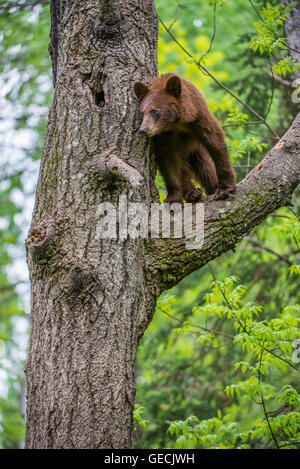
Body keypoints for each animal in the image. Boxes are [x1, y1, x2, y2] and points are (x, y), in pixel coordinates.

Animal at [134, 72, 237, 204]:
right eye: (142, 112)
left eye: (154, 111)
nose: (143, 130)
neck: (177, 123)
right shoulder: (164, 138)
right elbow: (168, 162)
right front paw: (173, 197)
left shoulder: (199, 117)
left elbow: (215, 143)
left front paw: (224, 189)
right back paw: (192, 193)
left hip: (196, 151)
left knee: (204, 166)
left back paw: (209, 188)